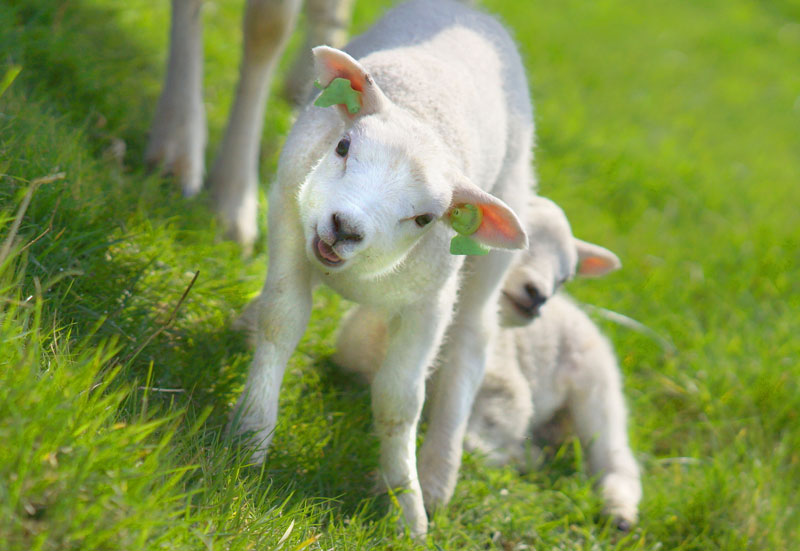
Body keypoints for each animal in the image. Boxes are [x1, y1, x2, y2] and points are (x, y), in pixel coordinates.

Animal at [234, 0, 540, 536]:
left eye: (424, 219)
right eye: (342, 147)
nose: (345, 227)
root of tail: (469, 11)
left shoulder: (430, 304)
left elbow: (400, 400)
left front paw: (407, 507)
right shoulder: (290, 226)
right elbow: (281, 322)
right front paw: (251, 436)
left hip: (500, 229)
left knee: (471, 341)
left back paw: (439, 474)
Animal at [334, 197, 640, 532]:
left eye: (564, 278)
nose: (538, 297)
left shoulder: (505, 385)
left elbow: (469, 440)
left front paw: (521, 456)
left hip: (597, 385)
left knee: (615, 455)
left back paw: (619, 512)